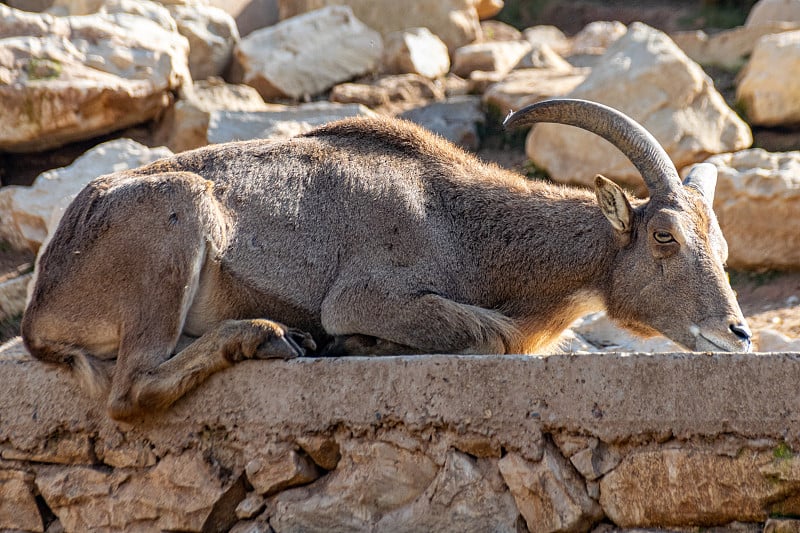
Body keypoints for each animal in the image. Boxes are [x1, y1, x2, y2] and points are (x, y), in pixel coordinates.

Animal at [21, 97, 752, 418]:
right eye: (665, 237)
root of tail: (39, 309)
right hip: (176, 227)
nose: (737, 332)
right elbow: (485, 333)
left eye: (720, 244)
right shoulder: (365, 294)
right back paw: (268, 335)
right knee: (131, 390)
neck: (460, 221)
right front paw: (351, 343)